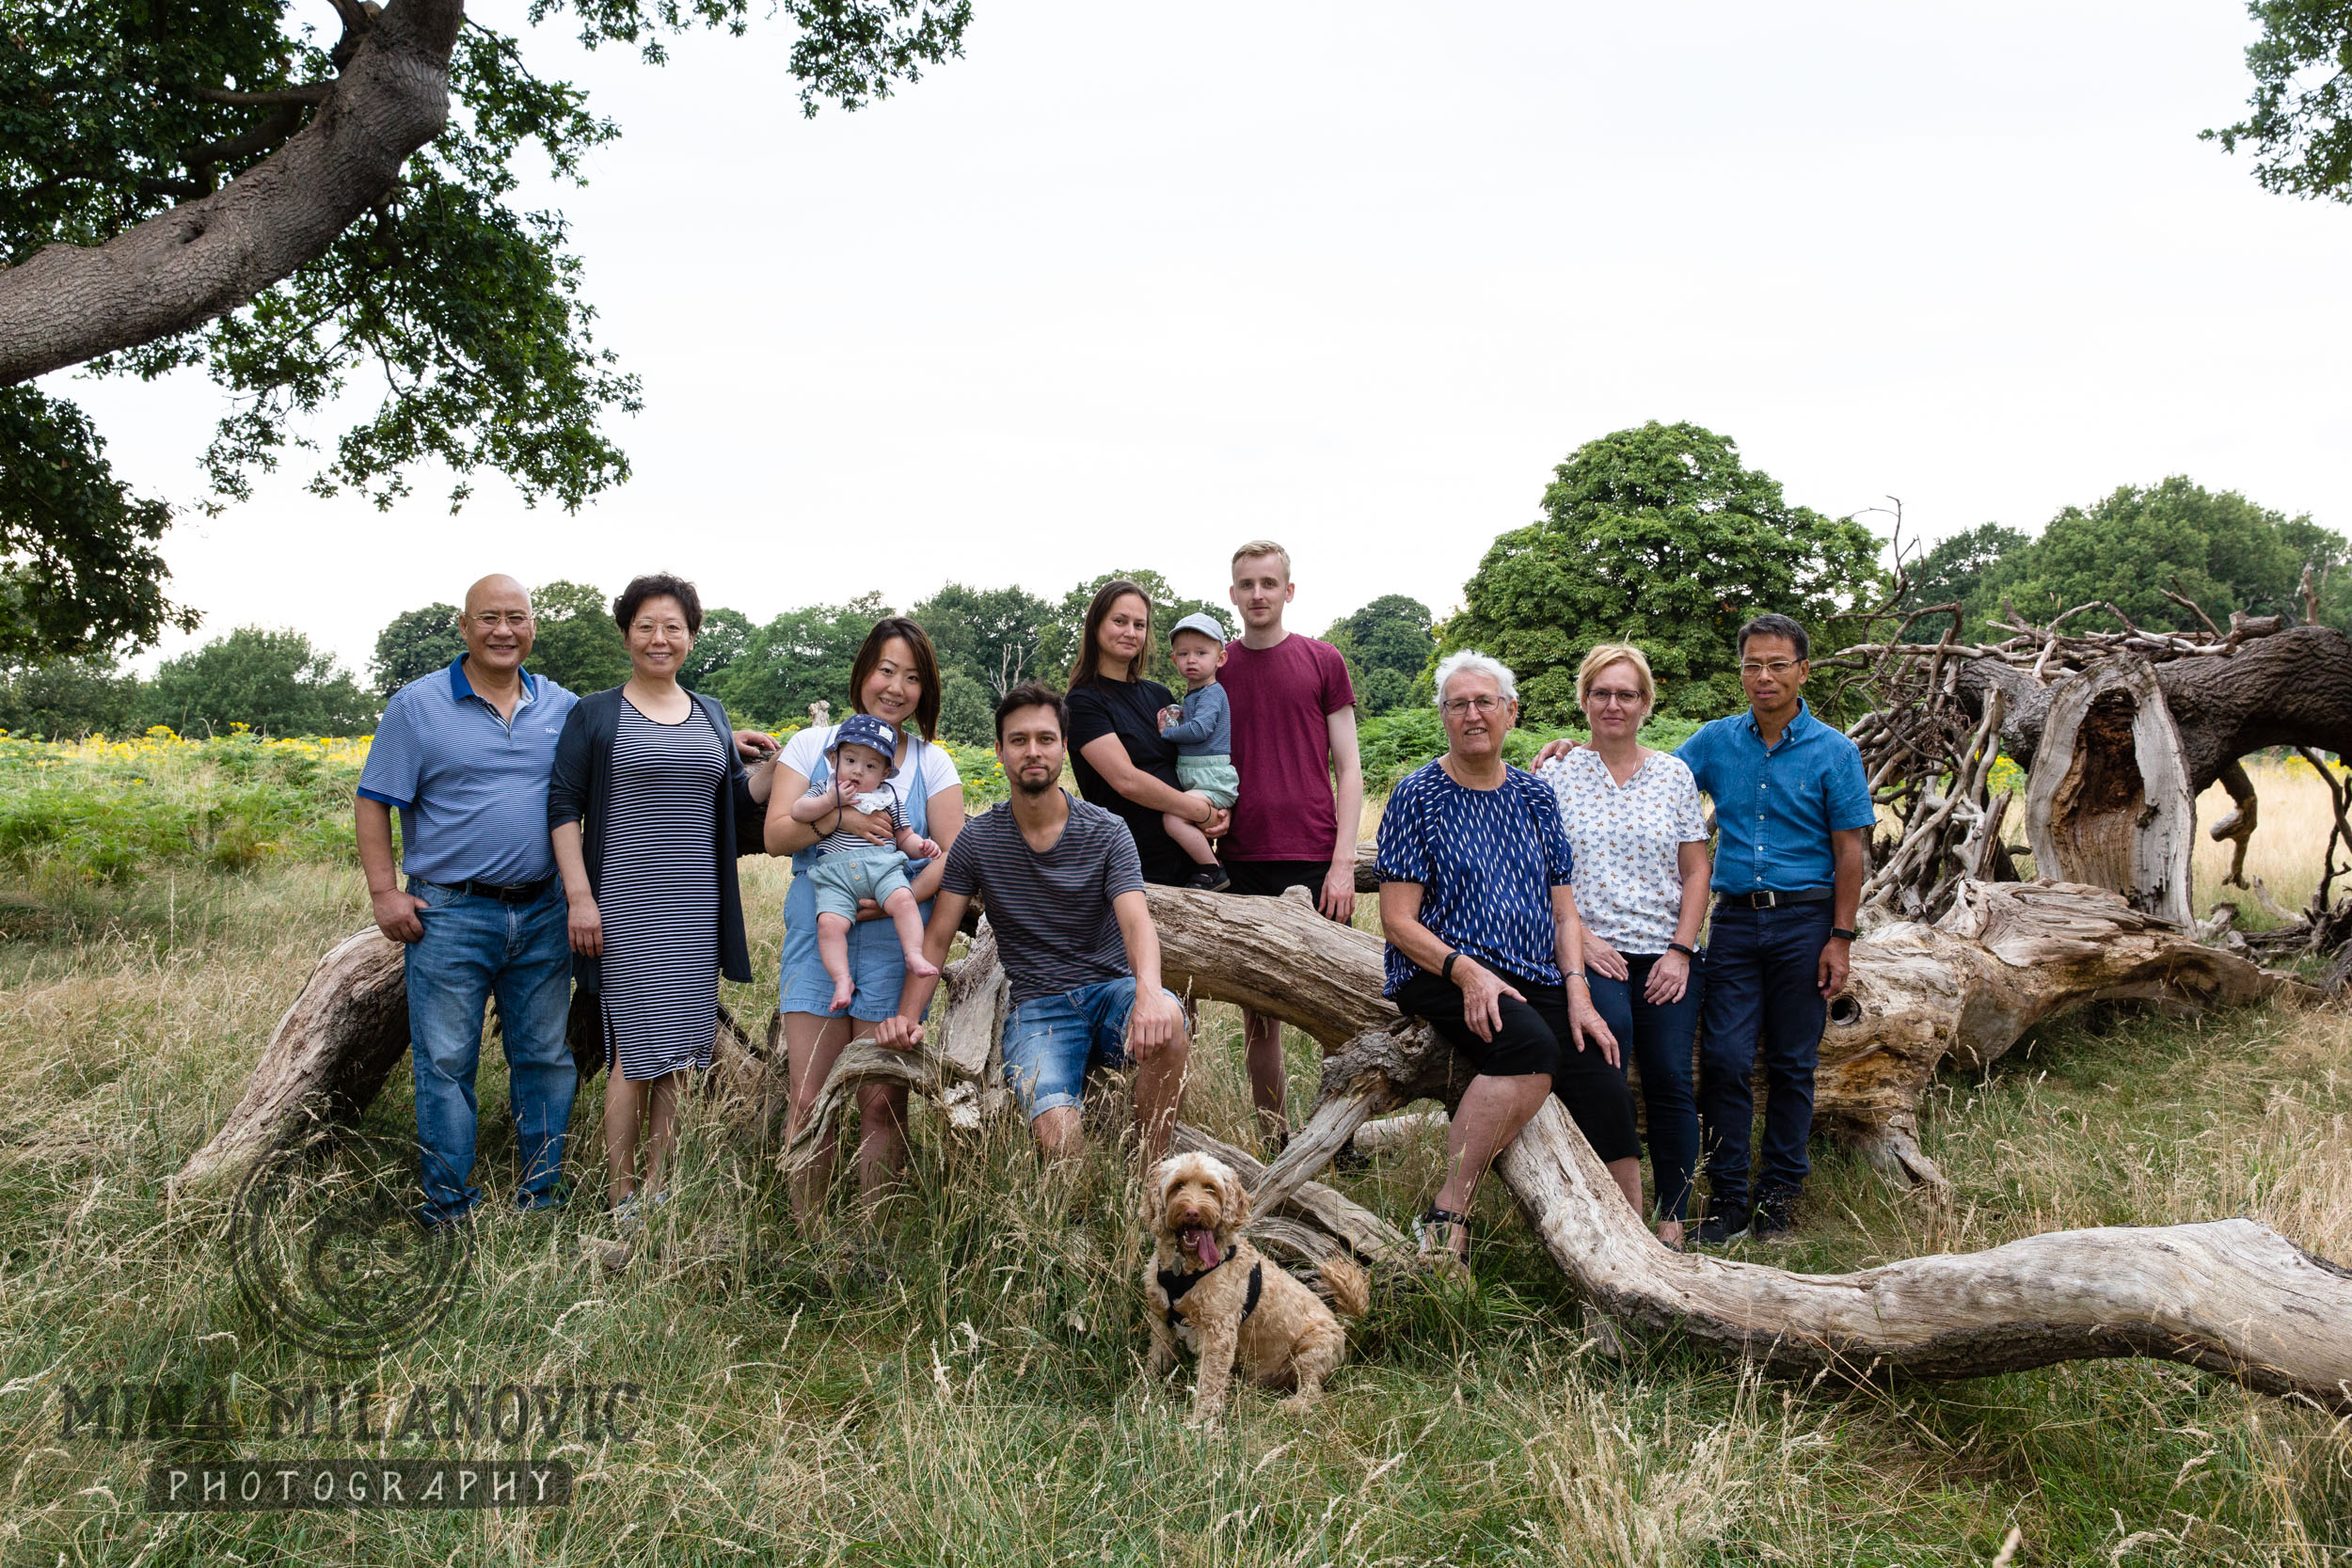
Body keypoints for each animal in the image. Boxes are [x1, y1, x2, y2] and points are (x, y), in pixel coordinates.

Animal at [1143, 1147, 1374, 1429]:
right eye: (1179, 1185)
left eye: (1210, 1188)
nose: (1193, 1213)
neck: (1186, 1269)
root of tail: (1344, 1325)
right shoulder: (1160, 1320)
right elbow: (1157, 1360)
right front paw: (1144, 1392)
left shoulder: (1218, 1333)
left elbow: (1209, 1382)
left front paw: (1200, 1424)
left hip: (1312, 1349)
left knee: (1312, 1390)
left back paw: (1293, 1406)